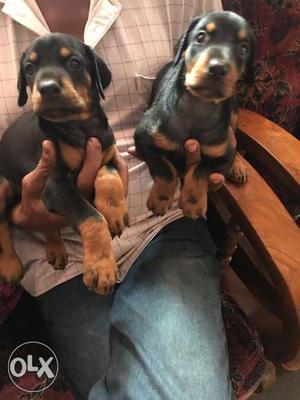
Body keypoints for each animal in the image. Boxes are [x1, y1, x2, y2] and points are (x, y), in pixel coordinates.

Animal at [0, 32, 129, 294]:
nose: (47, 88)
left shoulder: (108, 153)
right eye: (29, 69)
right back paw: (9, 265)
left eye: (74, 62)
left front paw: (114, 210)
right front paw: (101, 267)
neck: (78, 126)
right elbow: (92, 217)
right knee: (2, 227)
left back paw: (55, 247)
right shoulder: (54, 183)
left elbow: (109, 174)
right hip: (2, 187)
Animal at [135, 10, 254, 219]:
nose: (218, 69)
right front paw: (161, 198)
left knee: (235, 142)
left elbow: (200, 170)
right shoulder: (143, 137)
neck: (198, 105)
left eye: (243, 48)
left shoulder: (220, 156)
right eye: (201, 37)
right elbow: (164, 167)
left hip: (233, 114)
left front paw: (192, 202)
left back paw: (238, 166)